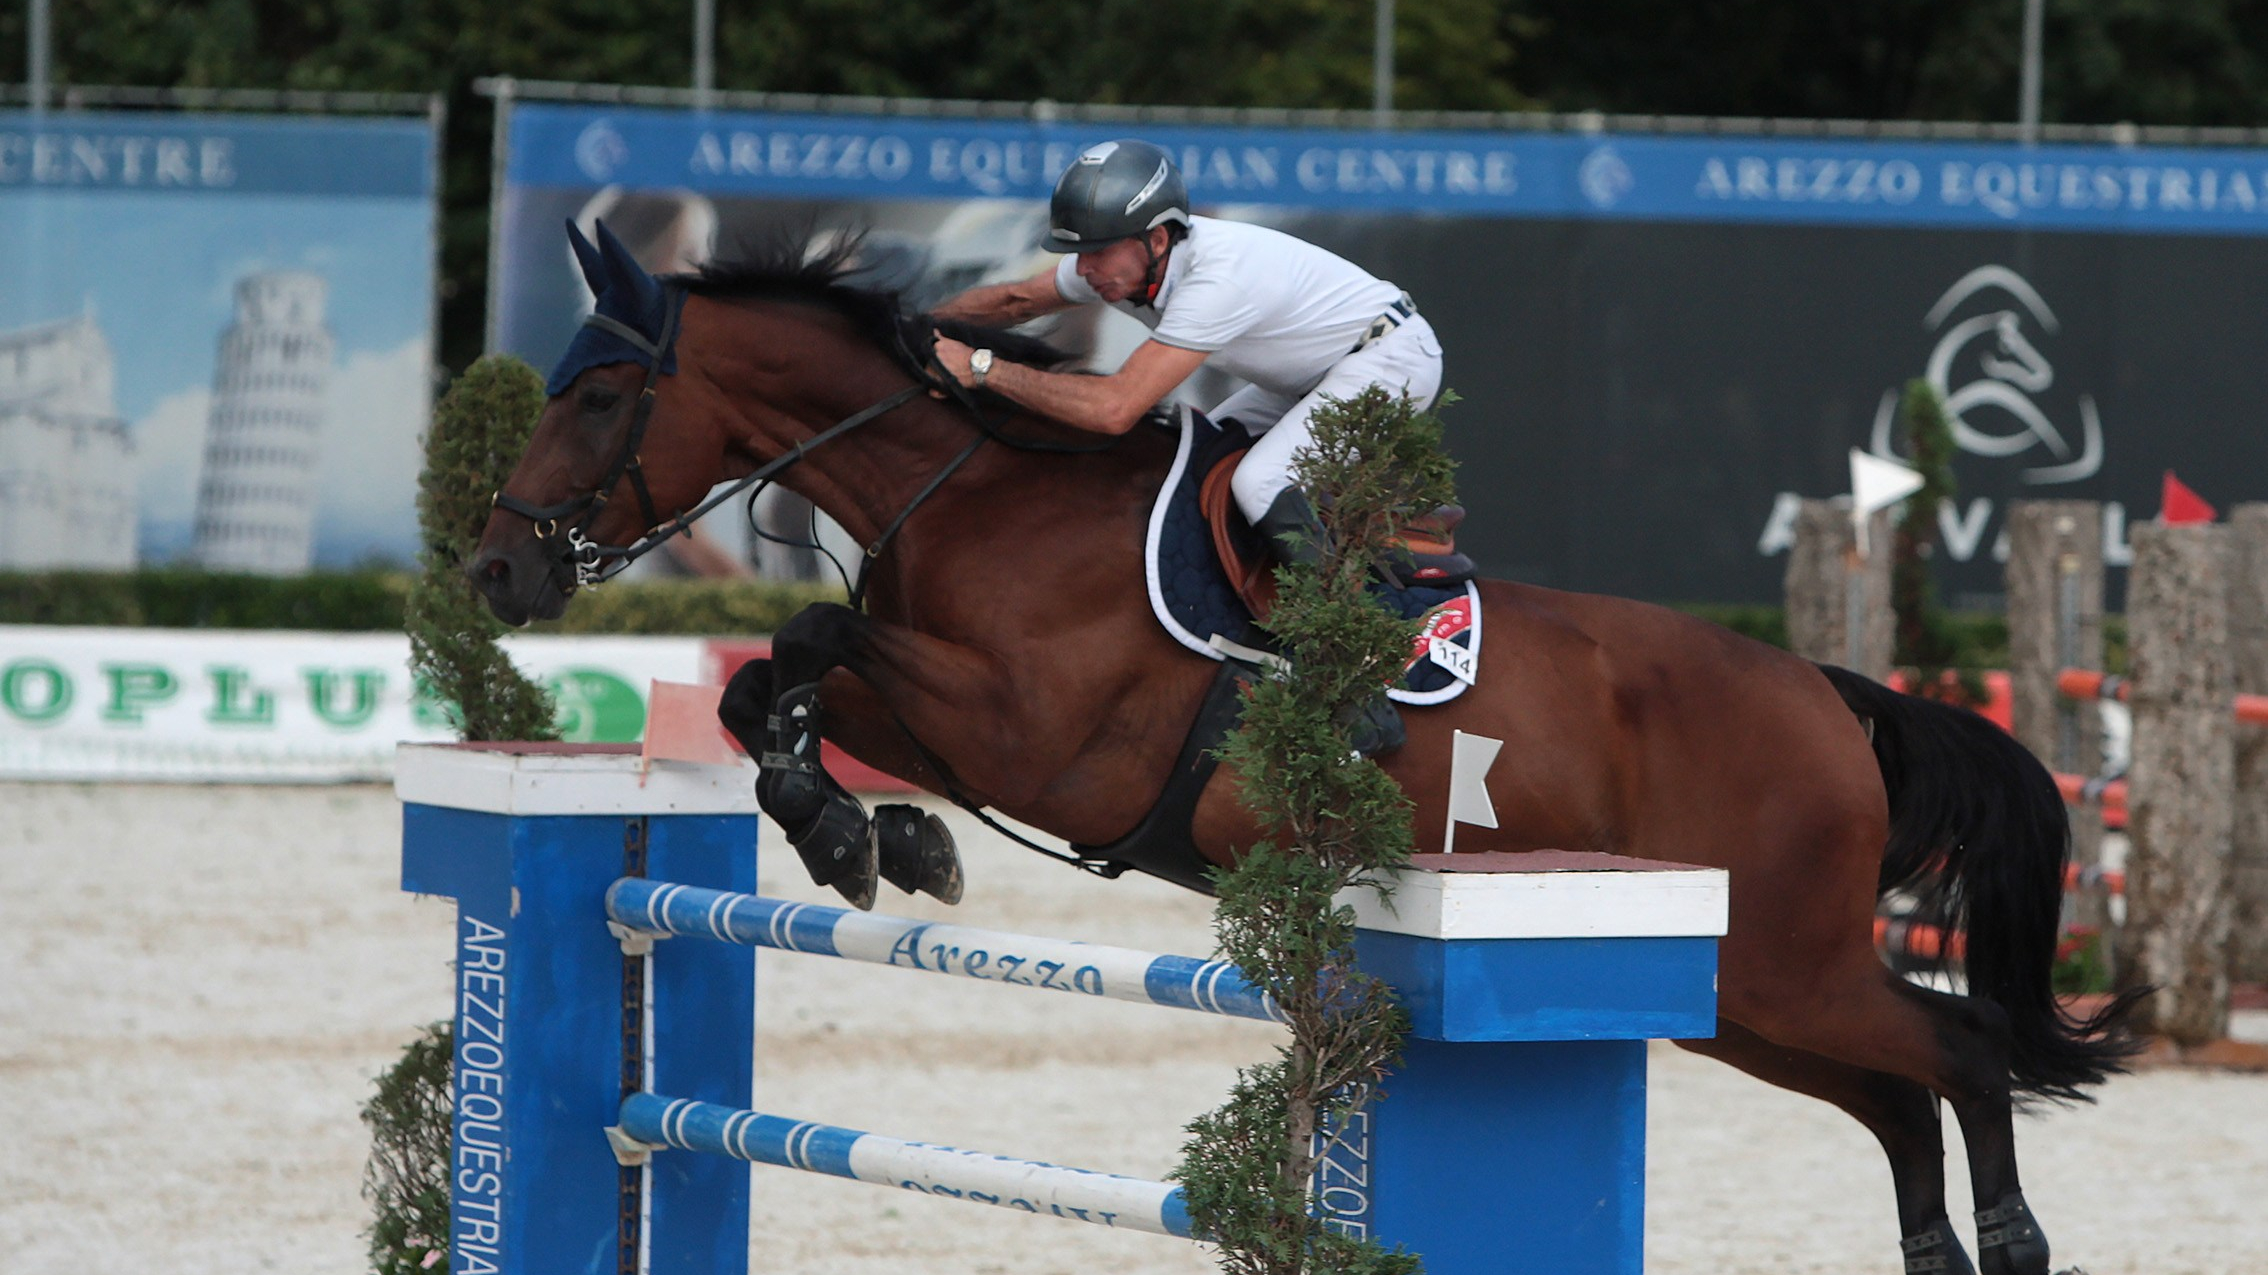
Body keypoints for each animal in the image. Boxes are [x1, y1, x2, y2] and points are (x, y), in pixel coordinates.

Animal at [469, 221, 2131, 1270]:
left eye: (602, 392)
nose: (496, 572)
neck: (973, 489)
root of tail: (1831, 695)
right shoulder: (948, 710)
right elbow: (768, 687)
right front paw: (871, 833)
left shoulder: (1031, 731)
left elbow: (810, 638)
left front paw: (859, 833)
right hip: (1737, 994)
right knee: (1902, 1094)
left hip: (1784, 962)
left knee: (1961, 1054)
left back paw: (2019, 1242)